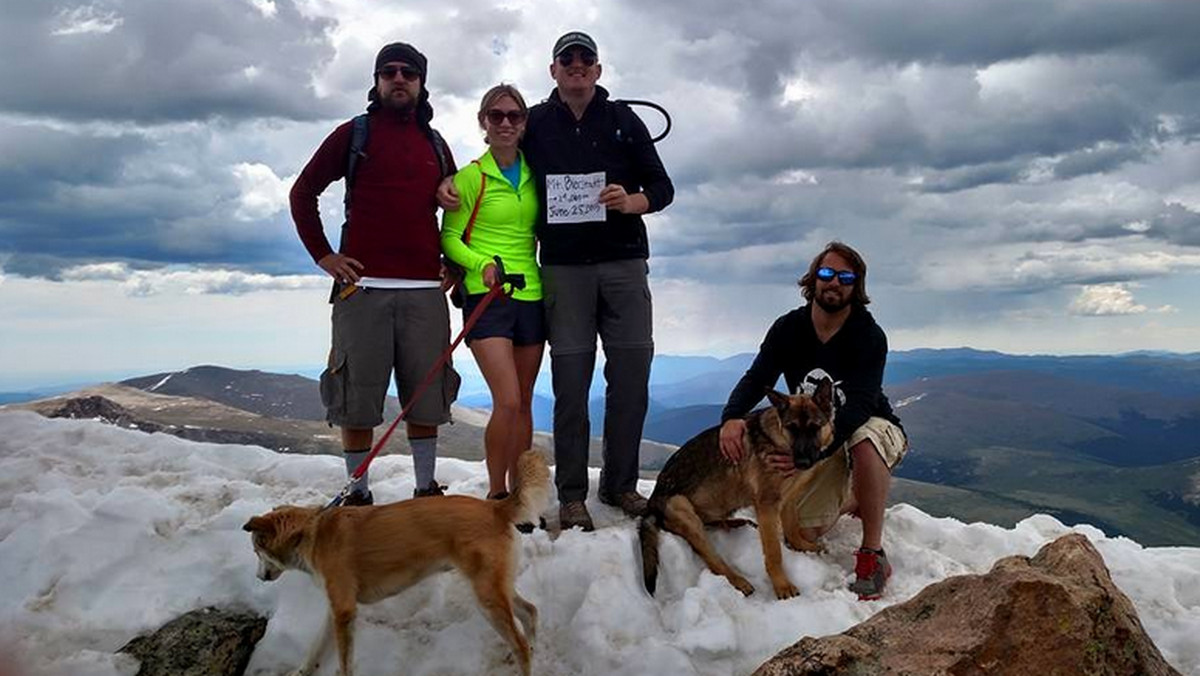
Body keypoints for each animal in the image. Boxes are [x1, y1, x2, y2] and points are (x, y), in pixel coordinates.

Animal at [243, 449, 552, 676]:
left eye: (256, 550)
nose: (258, 577)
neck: (311, 532)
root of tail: (495, 507)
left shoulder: (344, 612)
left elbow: (344, 661)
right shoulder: (336, 610)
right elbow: (315, 649)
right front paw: (302, 671)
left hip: (487, 596)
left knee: (520, 643)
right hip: (495, 587)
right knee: (531, 612)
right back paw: (534, 645)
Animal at [638, 384, 835, 600]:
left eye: (815, 427)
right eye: (792, 428)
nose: (803, 463)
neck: (779, 439)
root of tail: (651, 504)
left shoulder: (788, 499)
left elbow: (792, 528)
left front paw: (804, 547)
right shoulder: (767, 505)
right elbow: (774, 552)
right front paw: (782, 585)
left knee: (714, 524)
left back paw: (737, 522)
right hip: (681, 506)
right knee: (711, 558)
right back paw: (738, 581)